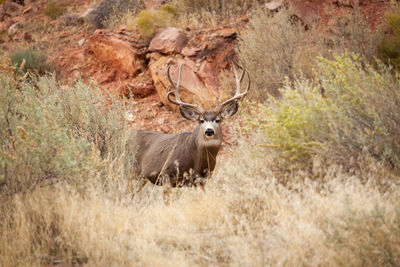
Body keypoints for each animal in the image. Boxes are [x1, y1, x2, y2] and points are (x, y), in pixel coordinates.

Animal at [133, 62, 248, 203]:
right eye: (201, 120)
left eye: (218, 120)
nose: (209, 131)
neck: (196, 160)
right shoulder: (166, 175)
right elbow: (167, 203)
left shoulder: (201, 180)